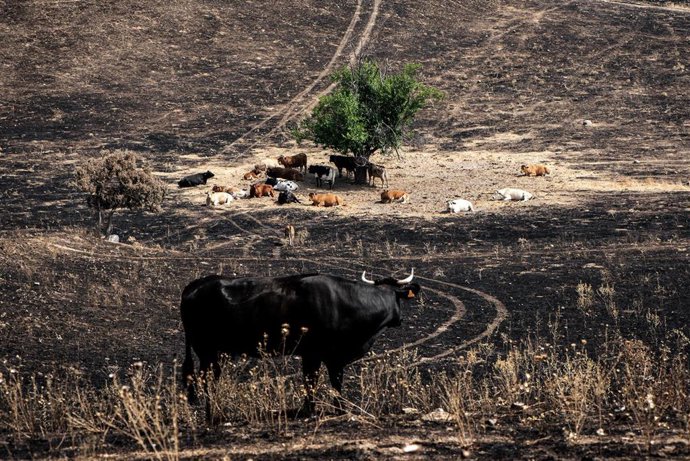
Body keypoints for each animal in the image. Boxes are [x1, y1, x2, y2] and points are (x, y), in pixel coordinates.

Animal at [180, 270, 420, 417]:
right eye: (399, 298)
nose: (400, 320)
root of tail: (195, 285)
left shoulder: (317, 355)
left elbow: (315, 382)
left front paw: (312, 408)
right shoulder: (324, 354)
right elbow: (327, 382)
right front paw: (334, 410)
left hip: (211, 352)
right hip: (205, 350)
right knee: (205, 379)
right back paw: (212, 411)